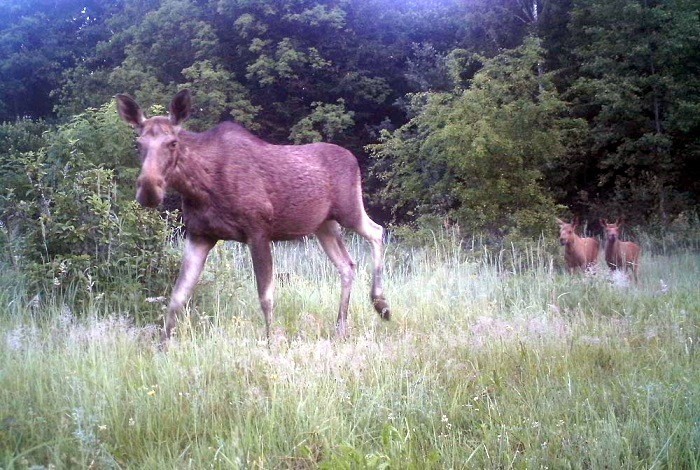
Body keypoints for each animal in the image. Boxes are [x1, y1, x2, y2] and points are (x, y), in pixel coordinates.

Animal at [114, 90, 388, 344]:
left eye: (172, 142)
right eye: (138, 144)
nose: (149, 190)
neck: (199, 188)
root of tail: (354, 159)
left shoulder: (258, 231)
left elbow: (265, 297)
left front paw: (271, 343)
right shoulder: (199, 235)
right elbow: (177, 297)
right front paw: (163, 346)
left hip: (349, 210)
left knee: (377, 231)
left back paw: (381, 304)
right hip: (324, 225)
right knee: (347, 264)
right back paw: (341, 328)